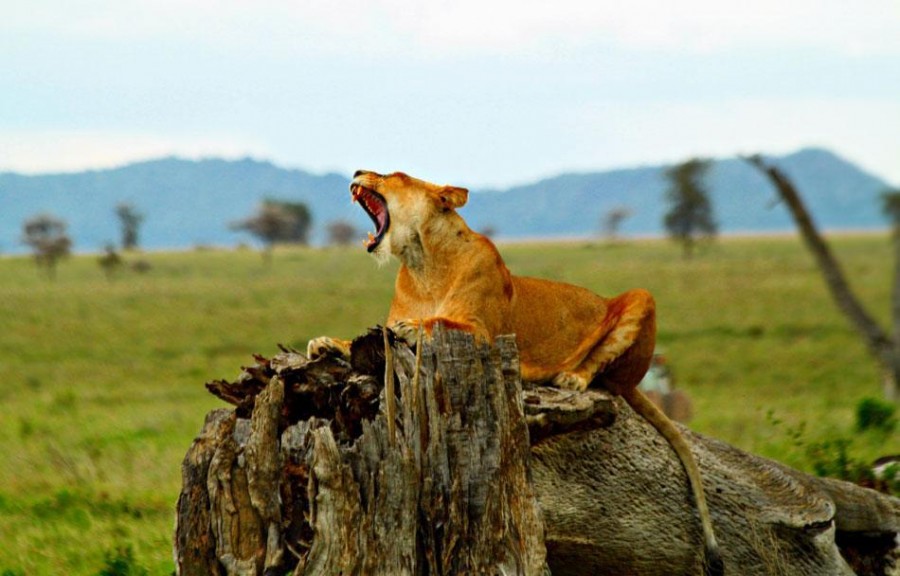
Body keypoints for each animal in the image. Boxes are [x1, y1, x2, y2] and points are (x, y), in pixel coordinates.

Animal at [308, 170, 724, 575]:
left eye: (393, 175)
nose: (357, 171)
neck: (422, 265)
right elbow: (364, 335)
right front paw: (325, 343)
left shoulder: (484, 334)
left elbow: (440, 322)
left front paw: (412, 327)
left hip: (640, 299)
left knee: (607, 376)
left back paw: (570, 377)